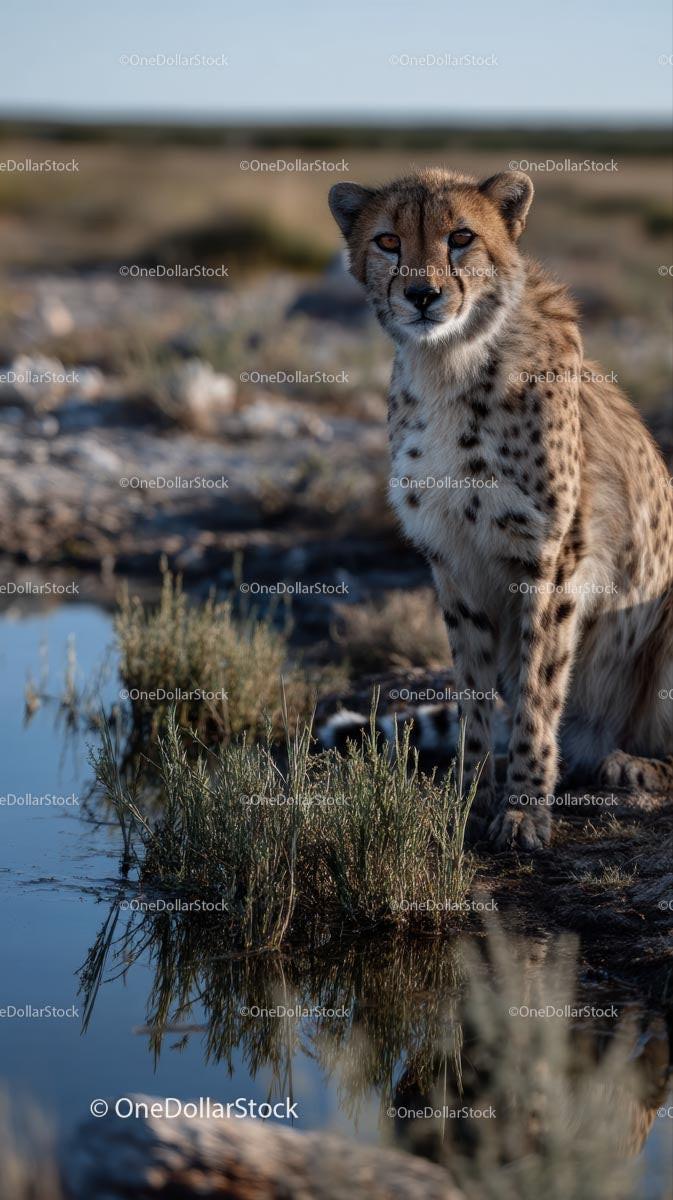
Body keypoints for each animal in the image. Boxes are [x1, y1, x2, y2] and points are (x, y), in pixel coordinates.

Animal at [328, 167, 673, 850]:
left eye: (461, 237)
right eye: (387, 240)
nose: (423, 294)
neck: (449, 364)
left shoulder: (552, 559)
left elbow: (540, 685)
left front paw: (523, 809)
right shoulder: (454, 561)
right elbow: (474, 688)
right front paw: (472, 796)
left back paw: (634, 764)